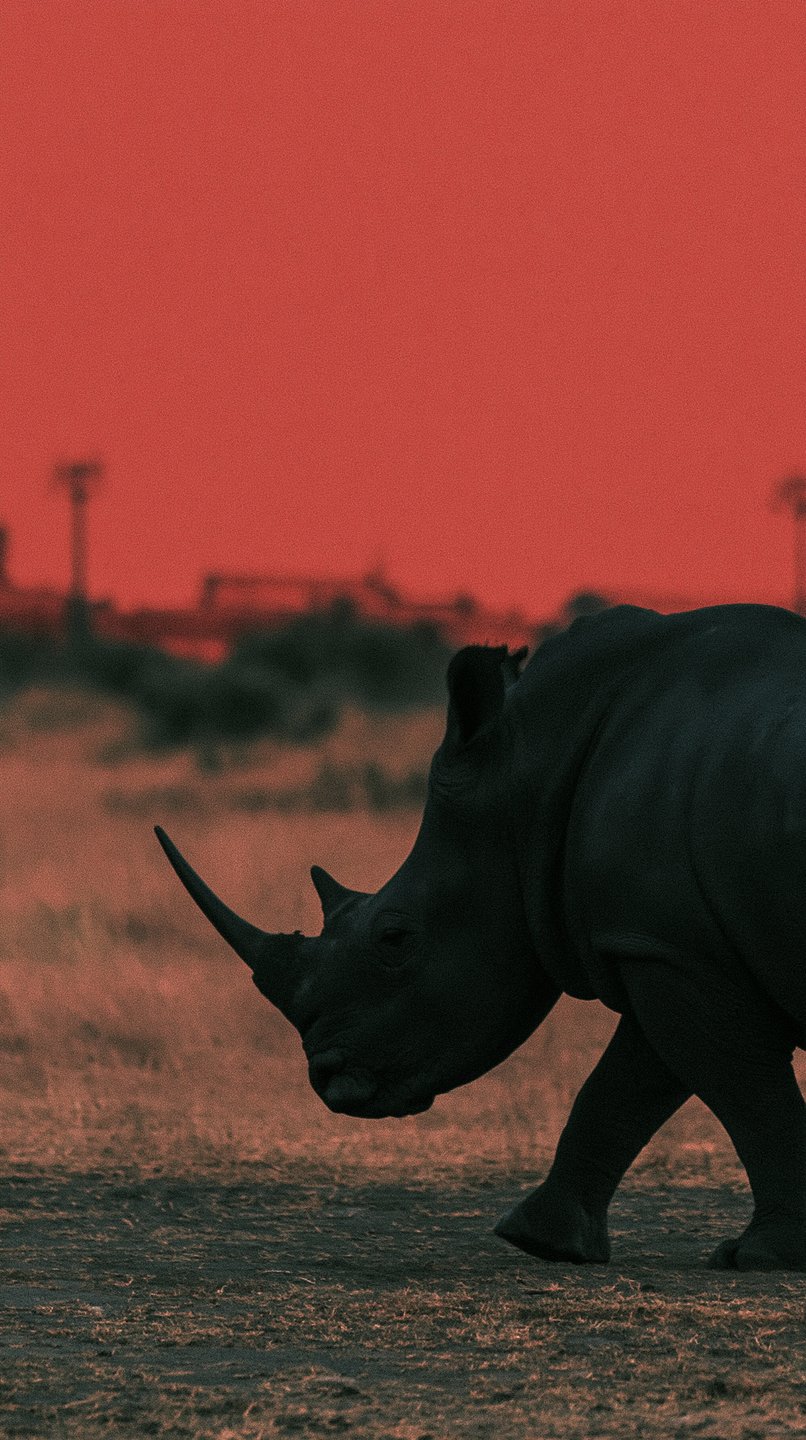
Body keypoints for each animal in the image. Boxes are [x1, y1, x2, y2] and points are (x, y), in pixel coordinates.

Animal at [156, 603, 806, 1271]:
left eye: (395, 938)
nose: (328, 1078)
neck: (531, 773)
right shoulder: (668, 943)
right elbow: (632, 1084)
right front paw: (542, 1241)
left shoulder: (671, 949)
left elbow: (743, 1090)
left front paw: (761, 1255)